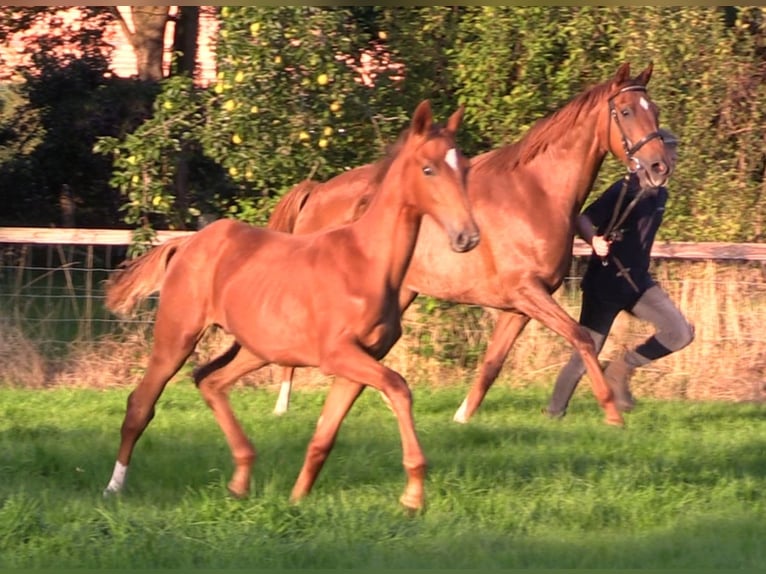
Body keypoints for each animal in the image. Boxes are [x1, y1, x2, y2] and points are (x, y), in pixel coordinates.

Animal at [99, 100, 476, 512]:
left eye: (464, 167)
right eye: (429, 169)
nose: (467, 237)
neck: (366, 264)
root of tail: (186, 243)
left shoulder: (359, 363)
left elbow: (325, 435)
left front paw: (298, 498)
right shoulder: (338, 355)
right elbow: (399, 387)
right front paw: (413, 494)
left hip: (255, 348)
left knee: (209, 380)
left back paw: (240, 479)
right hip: (176, 337)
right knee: (141, 404)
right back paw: (114, 488)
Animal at [268, 62, 668, 428]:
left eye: (655, 110)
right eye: (626, 111)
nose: (658, 168)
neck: (535, 193)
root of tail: (316, 192)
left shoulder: (519, 307)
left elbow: (492, 363)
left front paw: (462, 418)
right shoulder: (528, 292)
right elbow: (582, 338)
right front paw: (613, 413)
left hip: (400, 292)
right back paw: (283, 405)